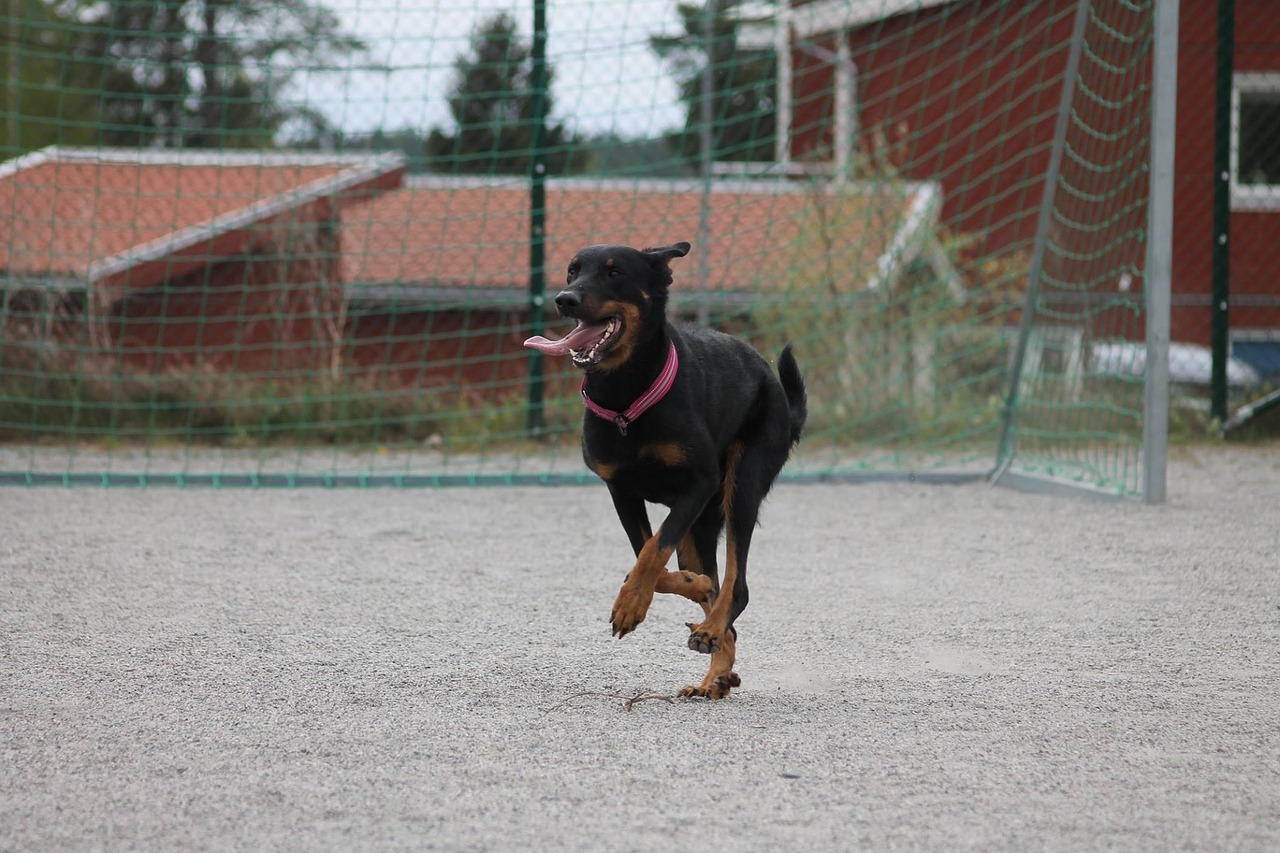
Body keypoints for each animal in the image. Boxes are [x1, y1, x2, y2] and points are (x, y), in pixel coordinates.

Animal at [524, 240, 803, 696]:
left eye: (614, 273)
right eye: (572, 272)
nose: (565, 299)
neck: (625, 394)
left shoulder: (699, 485)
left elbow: (654, 550)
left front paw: (630, 604)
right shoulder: (621, 490)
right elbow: (648, 554)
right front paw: (685, 587)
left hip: (740, 486)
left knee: (738, 586)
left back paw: (711, 632)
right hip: (699, 528)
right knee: (716, 589)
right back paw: (715, 671)